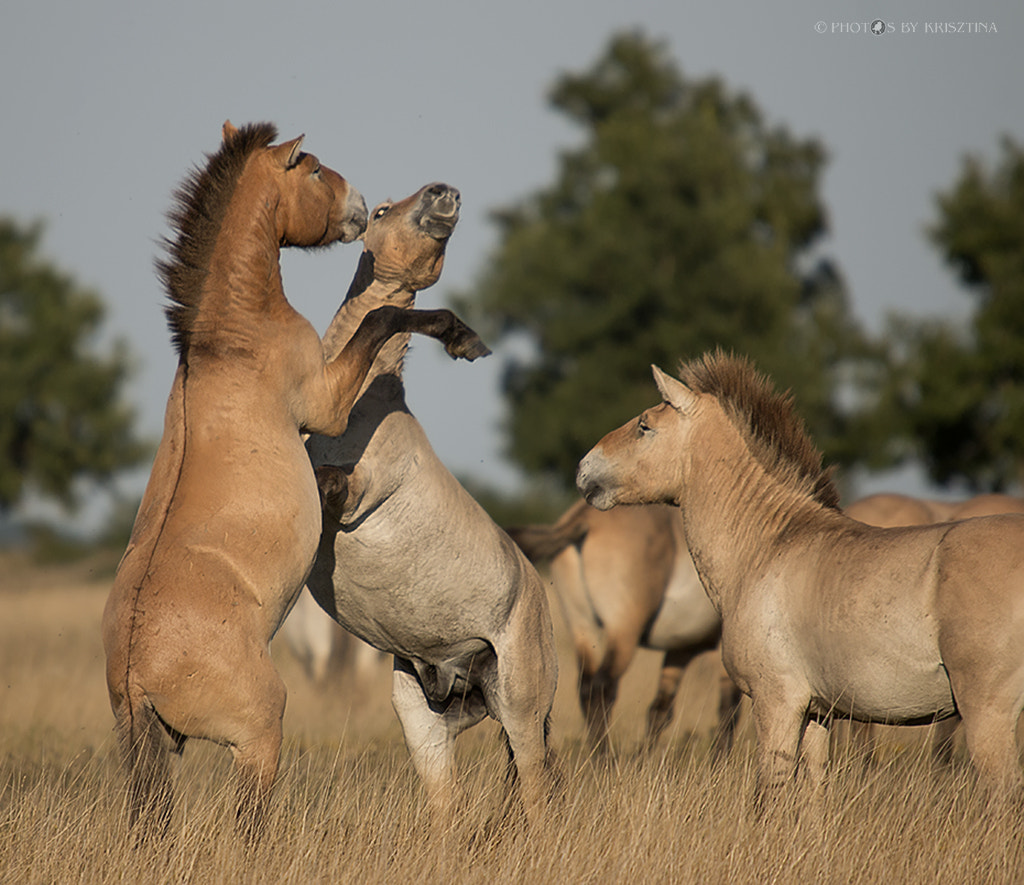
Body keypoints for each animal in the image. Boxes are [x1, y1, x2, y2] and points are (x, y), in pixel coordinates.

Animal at [102, 125, 489, 840]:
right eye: (309, 168)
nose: (361, 205)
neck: (232, 342)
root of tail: (139, 667)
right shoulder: (326, 401)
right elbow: (382, 322)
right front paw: (462, 336)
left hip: (147, 753)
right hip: (259, 736)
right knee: (248, 822)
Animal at [305, 183, 560, 824]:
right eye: (381, 211)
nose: (445, 195)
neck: (363, 405)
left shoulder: (358, 493)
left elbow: (326, 483)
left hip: (521, 708)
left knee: (536, 789)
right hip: (422, 718)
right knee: (448, 804)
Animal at [506, 501, 740, 755]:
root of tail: (585, 517)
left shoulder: (682, 648)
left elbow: (661, 708)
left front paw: (643, 758)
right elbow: (729, 707)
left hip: (584, 629)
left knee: (586, 689)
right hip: (624, 634)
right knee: (603, 688)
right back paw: (605, 757)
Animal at [577, 350, 1024, 810]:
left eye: (644, 426)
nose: (584, 467)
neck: (768, 545)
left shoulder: (777, 704)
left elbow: (769, 794)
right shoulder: (816, 714)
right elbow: (811, 796)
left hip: (986, 713)